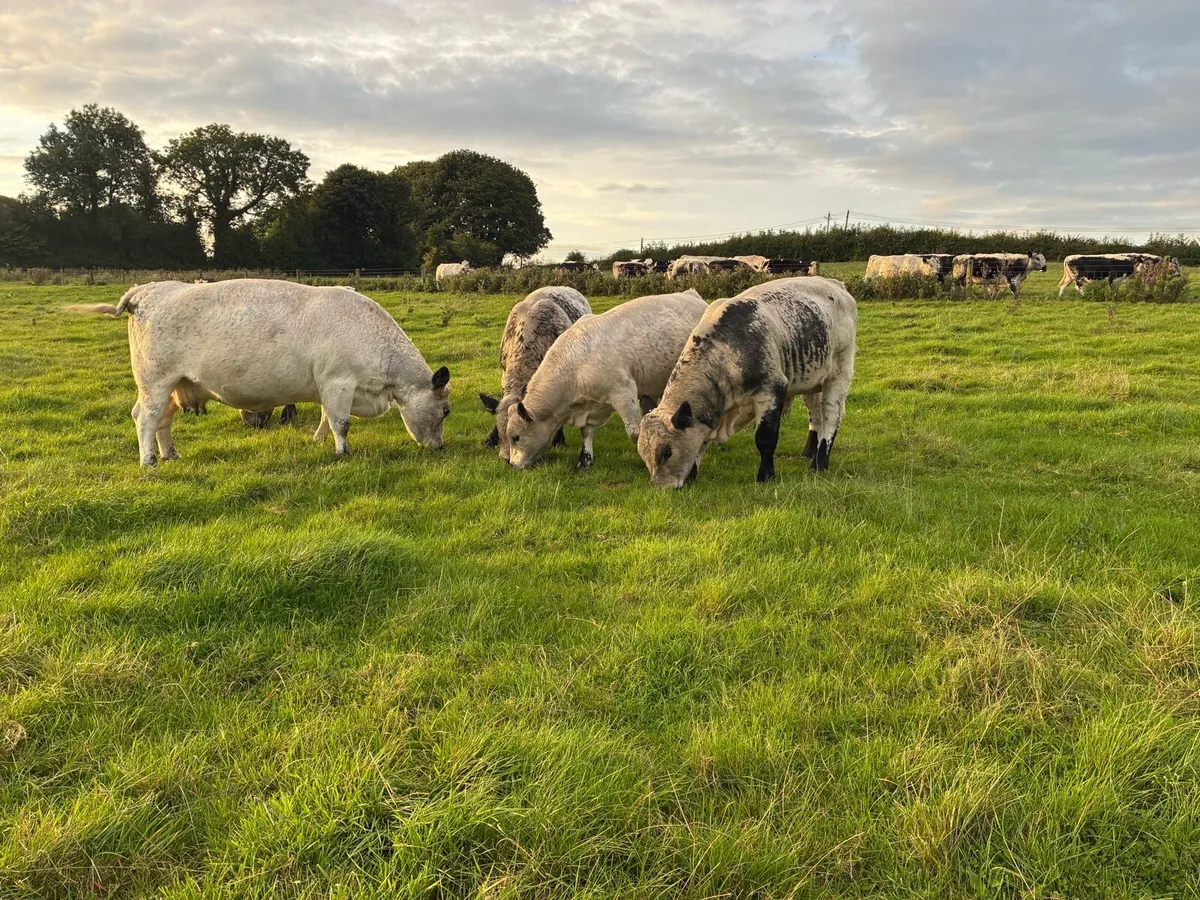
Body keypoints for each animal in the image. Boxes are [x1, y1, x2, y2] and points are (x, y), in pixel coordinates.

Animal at [67, 279, 451, 465]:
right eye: (446, 411)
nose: (439, 447)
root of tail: (145, 289)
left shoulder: (329, 387)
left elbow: (325, 418)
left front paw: (317, 441)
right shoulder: (338, 382)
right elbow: (340, 423)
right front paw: (342, 453)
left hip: (176, 385)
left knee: (162, 421)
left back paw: (170, 454)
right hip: (155, 382)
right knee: (144, 418)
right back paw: (149, 461)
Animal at [504, 290, 708, 470]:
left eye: (515, 437)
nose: (512, 464)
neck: (576, 364)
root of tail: (692, 295)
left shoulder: (623, 393)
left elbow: (635, 433)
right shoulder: (593, 405)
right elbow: (586, 433)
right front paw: (585, 461)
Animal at [637, 276, 857, 487]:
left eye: (667, 452)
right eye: (643, 455)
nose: (663, 488)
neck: (726, 351)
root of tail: (835, 284)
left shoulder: (771, 391)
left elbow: (765, 438)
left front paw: (766, 476)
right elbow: (702, 441)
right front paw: (692, 475)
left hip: (839, 373)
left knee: (831, 415)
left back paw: (819, 463)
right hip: (811, 380)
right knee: (816, 414)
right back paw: (810, 451)